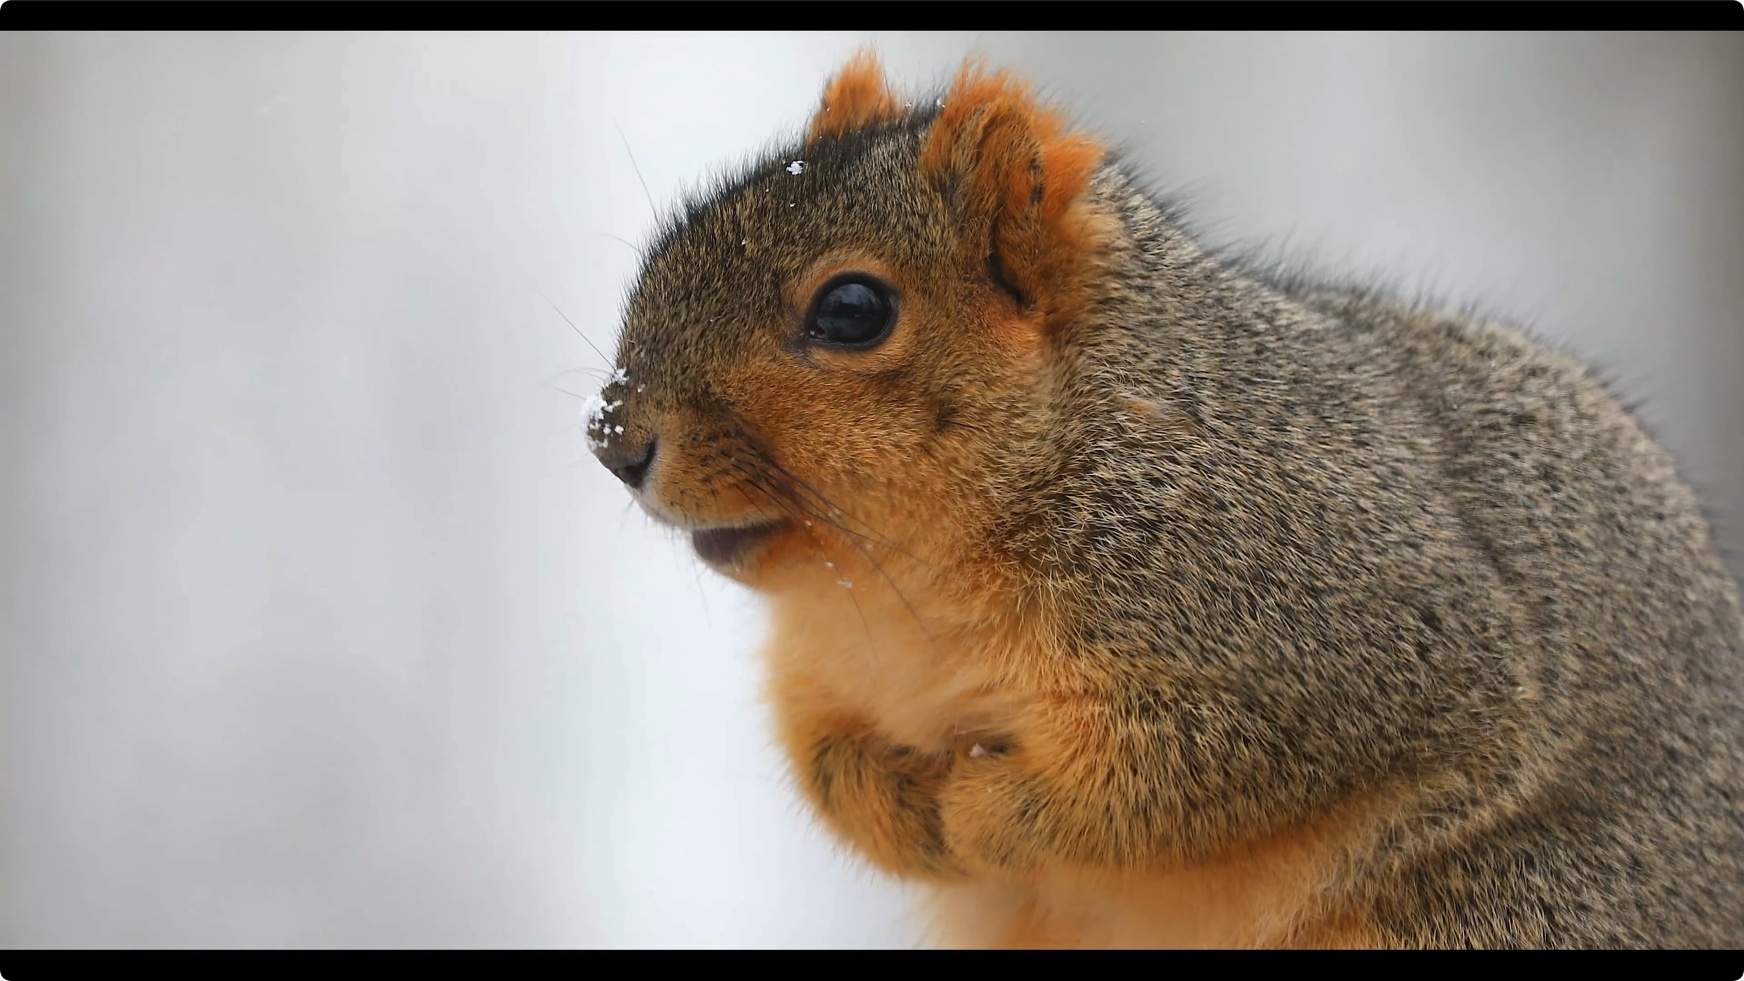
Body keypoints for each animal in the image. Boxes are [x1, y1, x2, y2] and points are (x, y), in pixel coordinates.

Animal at [586, 53, 1744, 948]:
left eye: (853, 310)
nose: (612, 439)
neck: (895, 587)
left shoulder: (1326, 616)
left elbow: (1172, 772)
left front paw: (986, 806)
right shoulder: (823, 673)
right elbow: (824, 758)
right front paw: (898, 808)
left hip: (1497, 905)